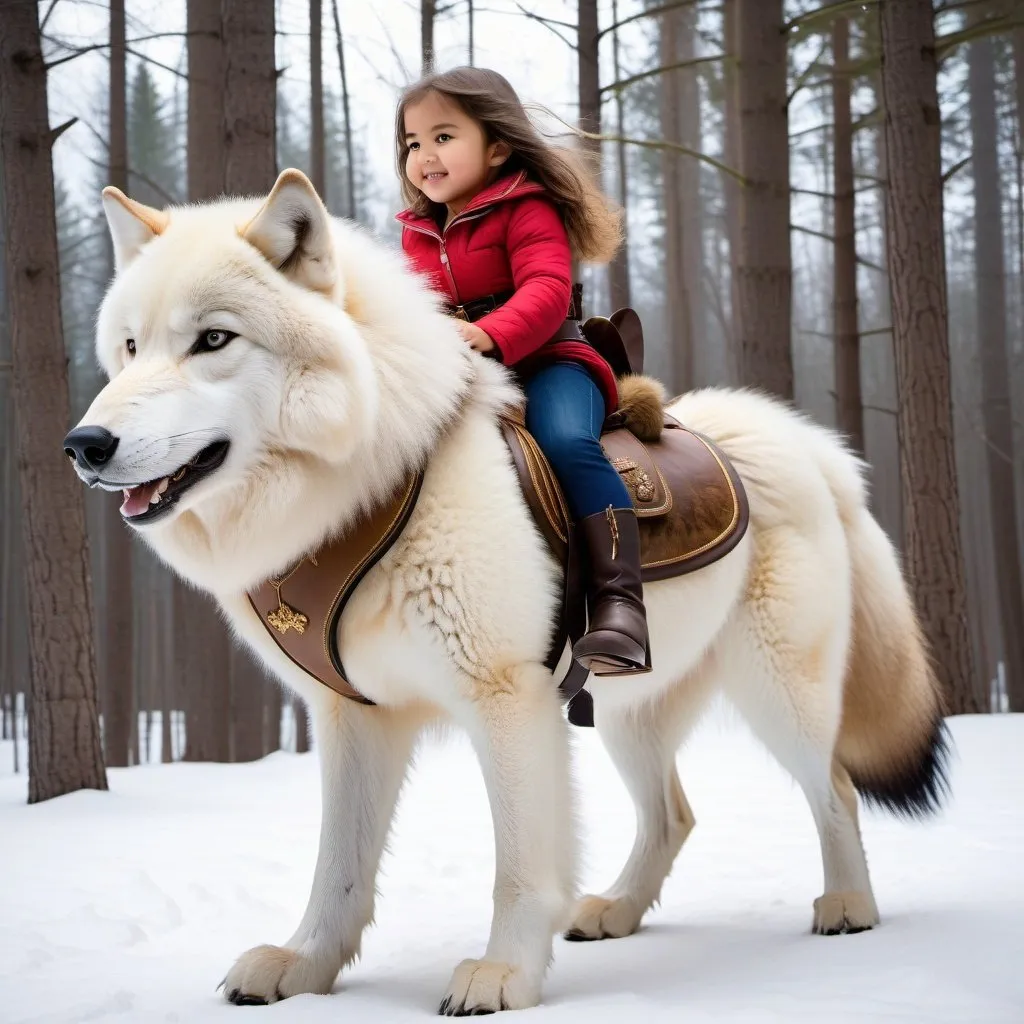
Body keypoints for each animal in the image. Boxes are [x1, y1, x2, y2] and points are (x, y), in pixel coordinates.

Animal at [61, 169, 942, 1015]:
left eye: (213, 339)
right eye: (130, 347)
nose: (83, 444)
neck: (376, 488)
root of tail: (805, 439)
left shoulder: (507, 701)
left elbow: (519, 865)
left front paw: (503, 975)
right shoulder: (354, 716)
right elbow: (338, 868)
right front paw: (304, 966)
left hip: (777, 696)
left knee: (835, 789)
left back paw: (848, 906)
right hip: (627, 716)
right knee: (674, 814)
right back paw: (614, 912)